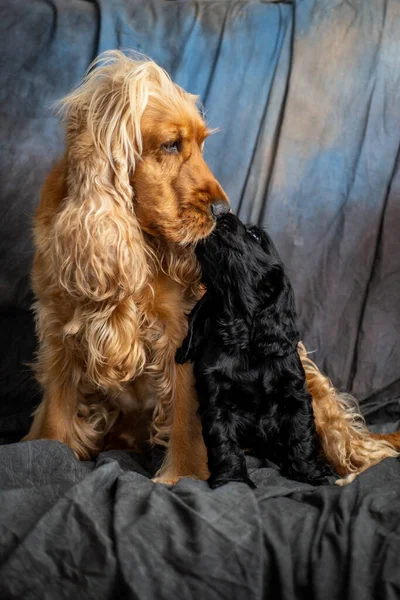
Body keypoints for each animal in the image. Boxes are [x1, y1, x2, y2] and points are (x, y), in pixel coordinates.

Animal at [177, 213, 332, 490]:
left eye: (256, 235)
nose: (220, 212)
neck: (242, 337)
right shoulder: (216, 401)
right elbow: (223, 442)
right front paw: (232, 478)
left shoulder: (295, 395)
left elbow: (301, 435)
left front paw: (307, 473)